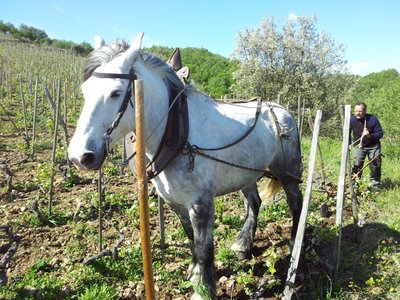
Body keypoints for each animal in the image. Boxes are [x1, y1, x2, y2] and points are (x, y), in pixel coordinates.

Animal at [67, 33, 302, 298]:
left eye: (116, 93)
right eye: (85, 91)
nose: (79, 156)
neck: (176, 132)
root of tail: (281, 110)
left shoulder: (201, 203)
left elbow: (204, 247)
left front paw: (204, 289)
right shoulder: (174, 201)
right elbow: (190, 237)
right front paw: (194, 273)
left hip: (288, 172)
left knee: (296, 203)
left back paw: (294, 246)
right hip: (246, 174)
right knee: (254, 202)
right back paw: (243, 245)